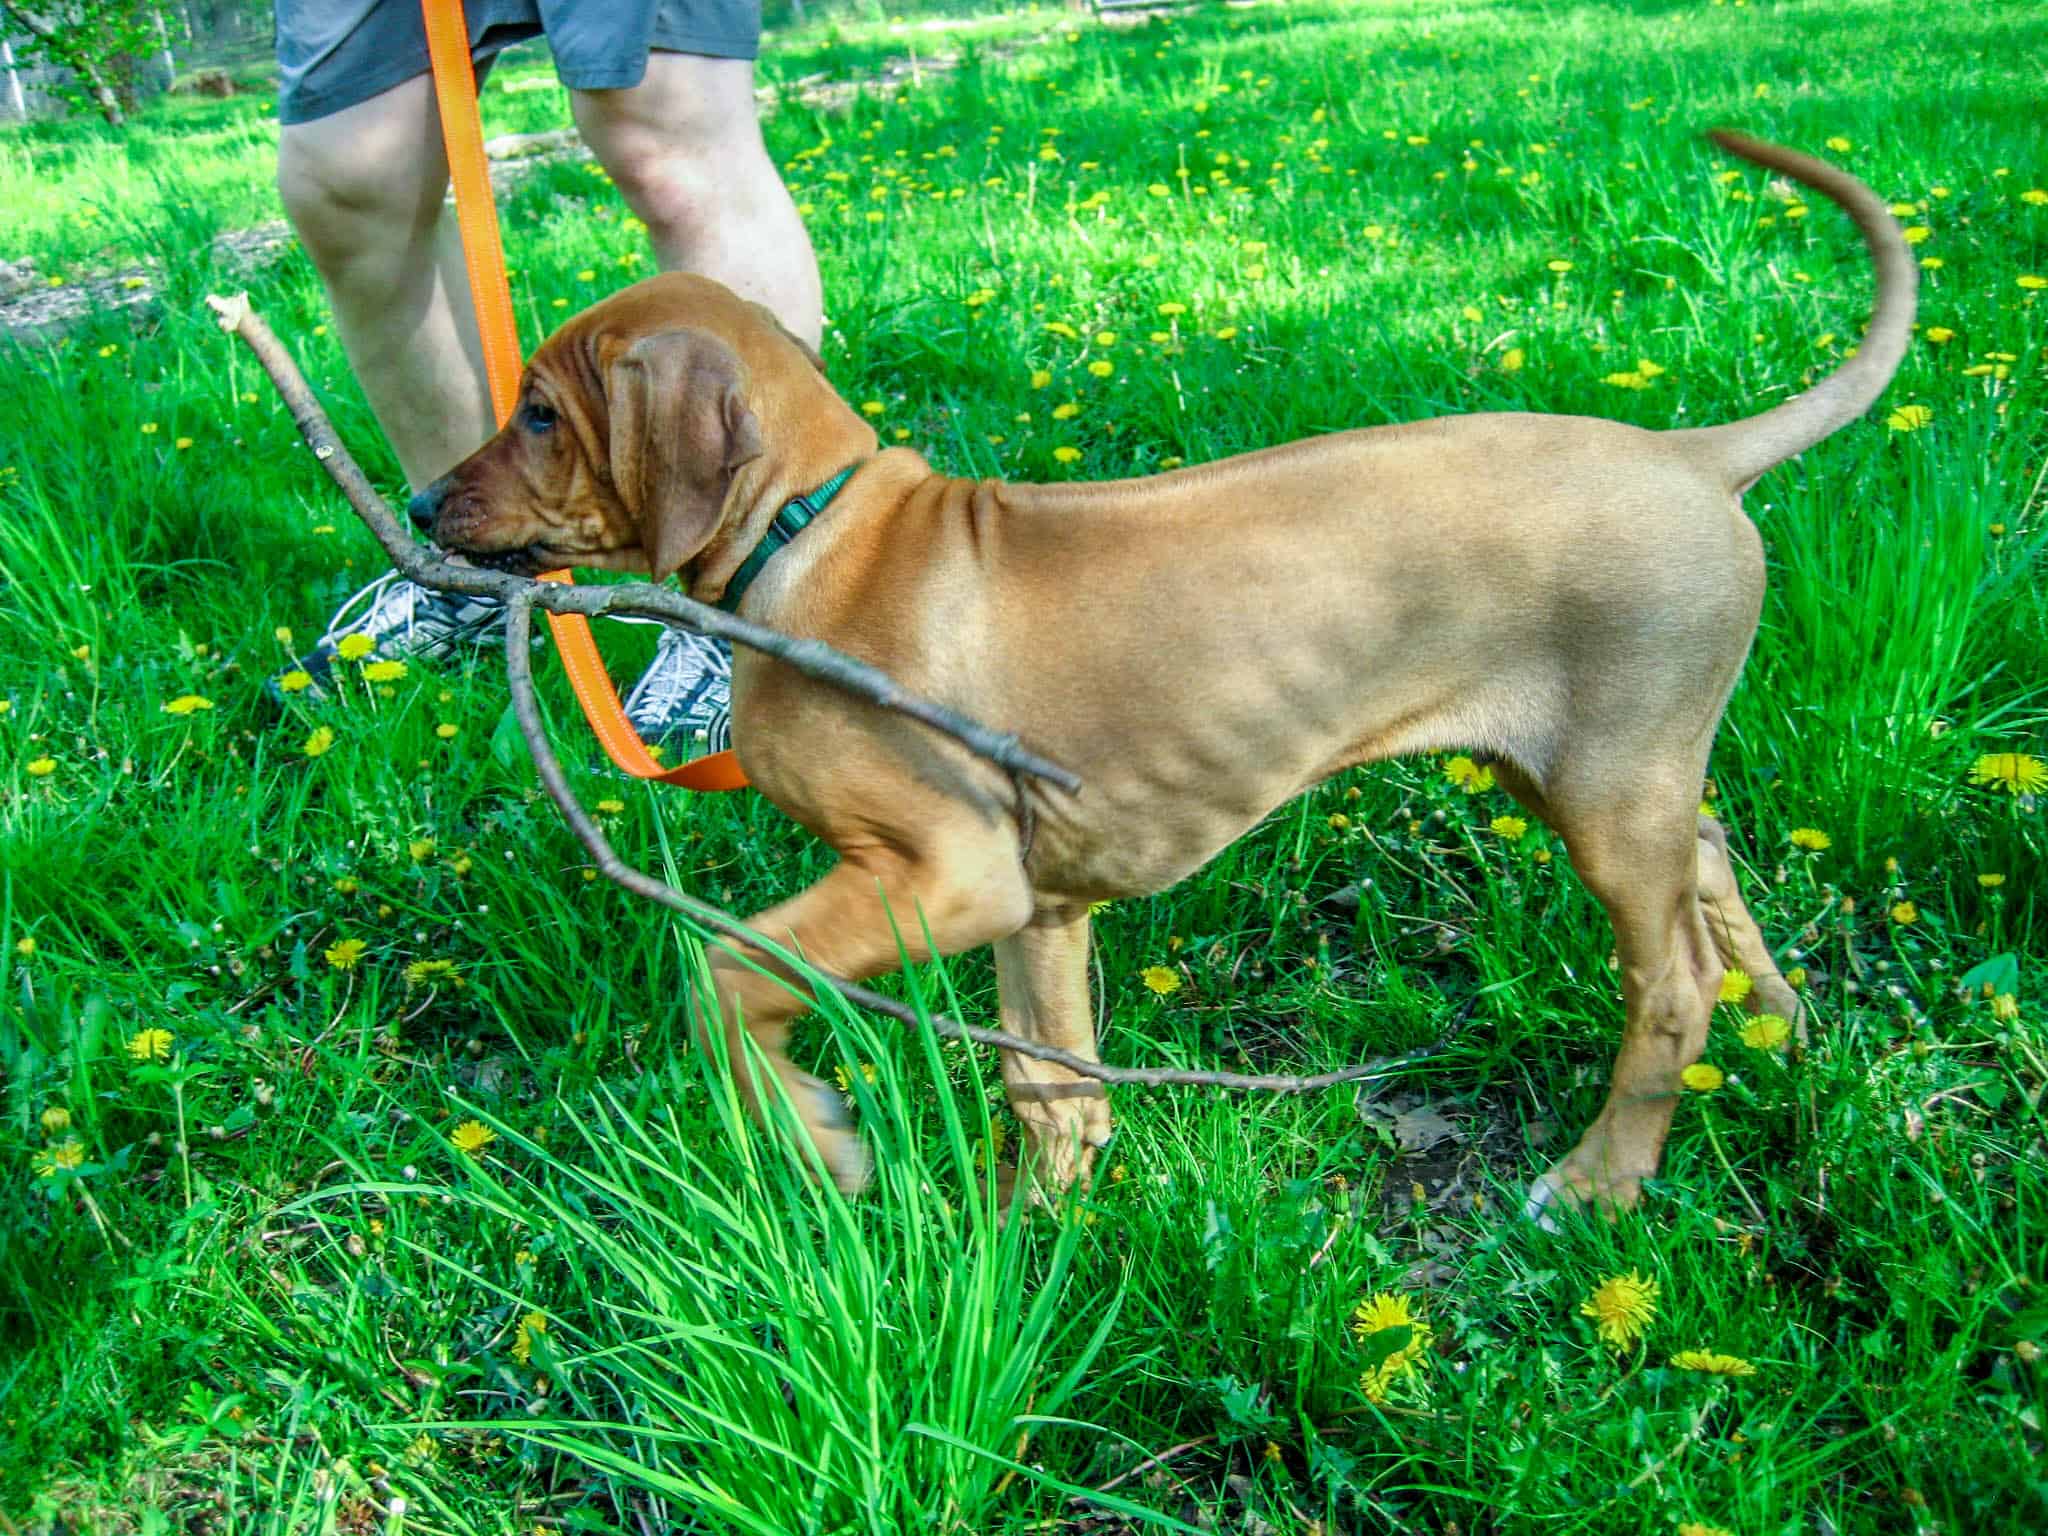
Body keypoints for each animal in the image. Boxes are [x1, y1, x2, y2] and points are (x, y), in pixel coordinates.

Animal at [415, 132, 1916, 1220]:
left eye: (537, 413)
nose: (422, 504)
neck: (816, 528)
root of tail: (1690, 455)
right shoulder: (1033, 903)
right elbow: (1050, 1078)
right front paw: (1033, 1238)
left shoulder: (947, 873)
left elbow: (725, 971)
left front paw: (818, 1142)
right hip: (1586, 768)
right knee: (1709, 861)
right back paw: (1782, 1032)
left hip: (1602, 781)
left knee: (1666, 985)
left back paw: (1602, 1182)